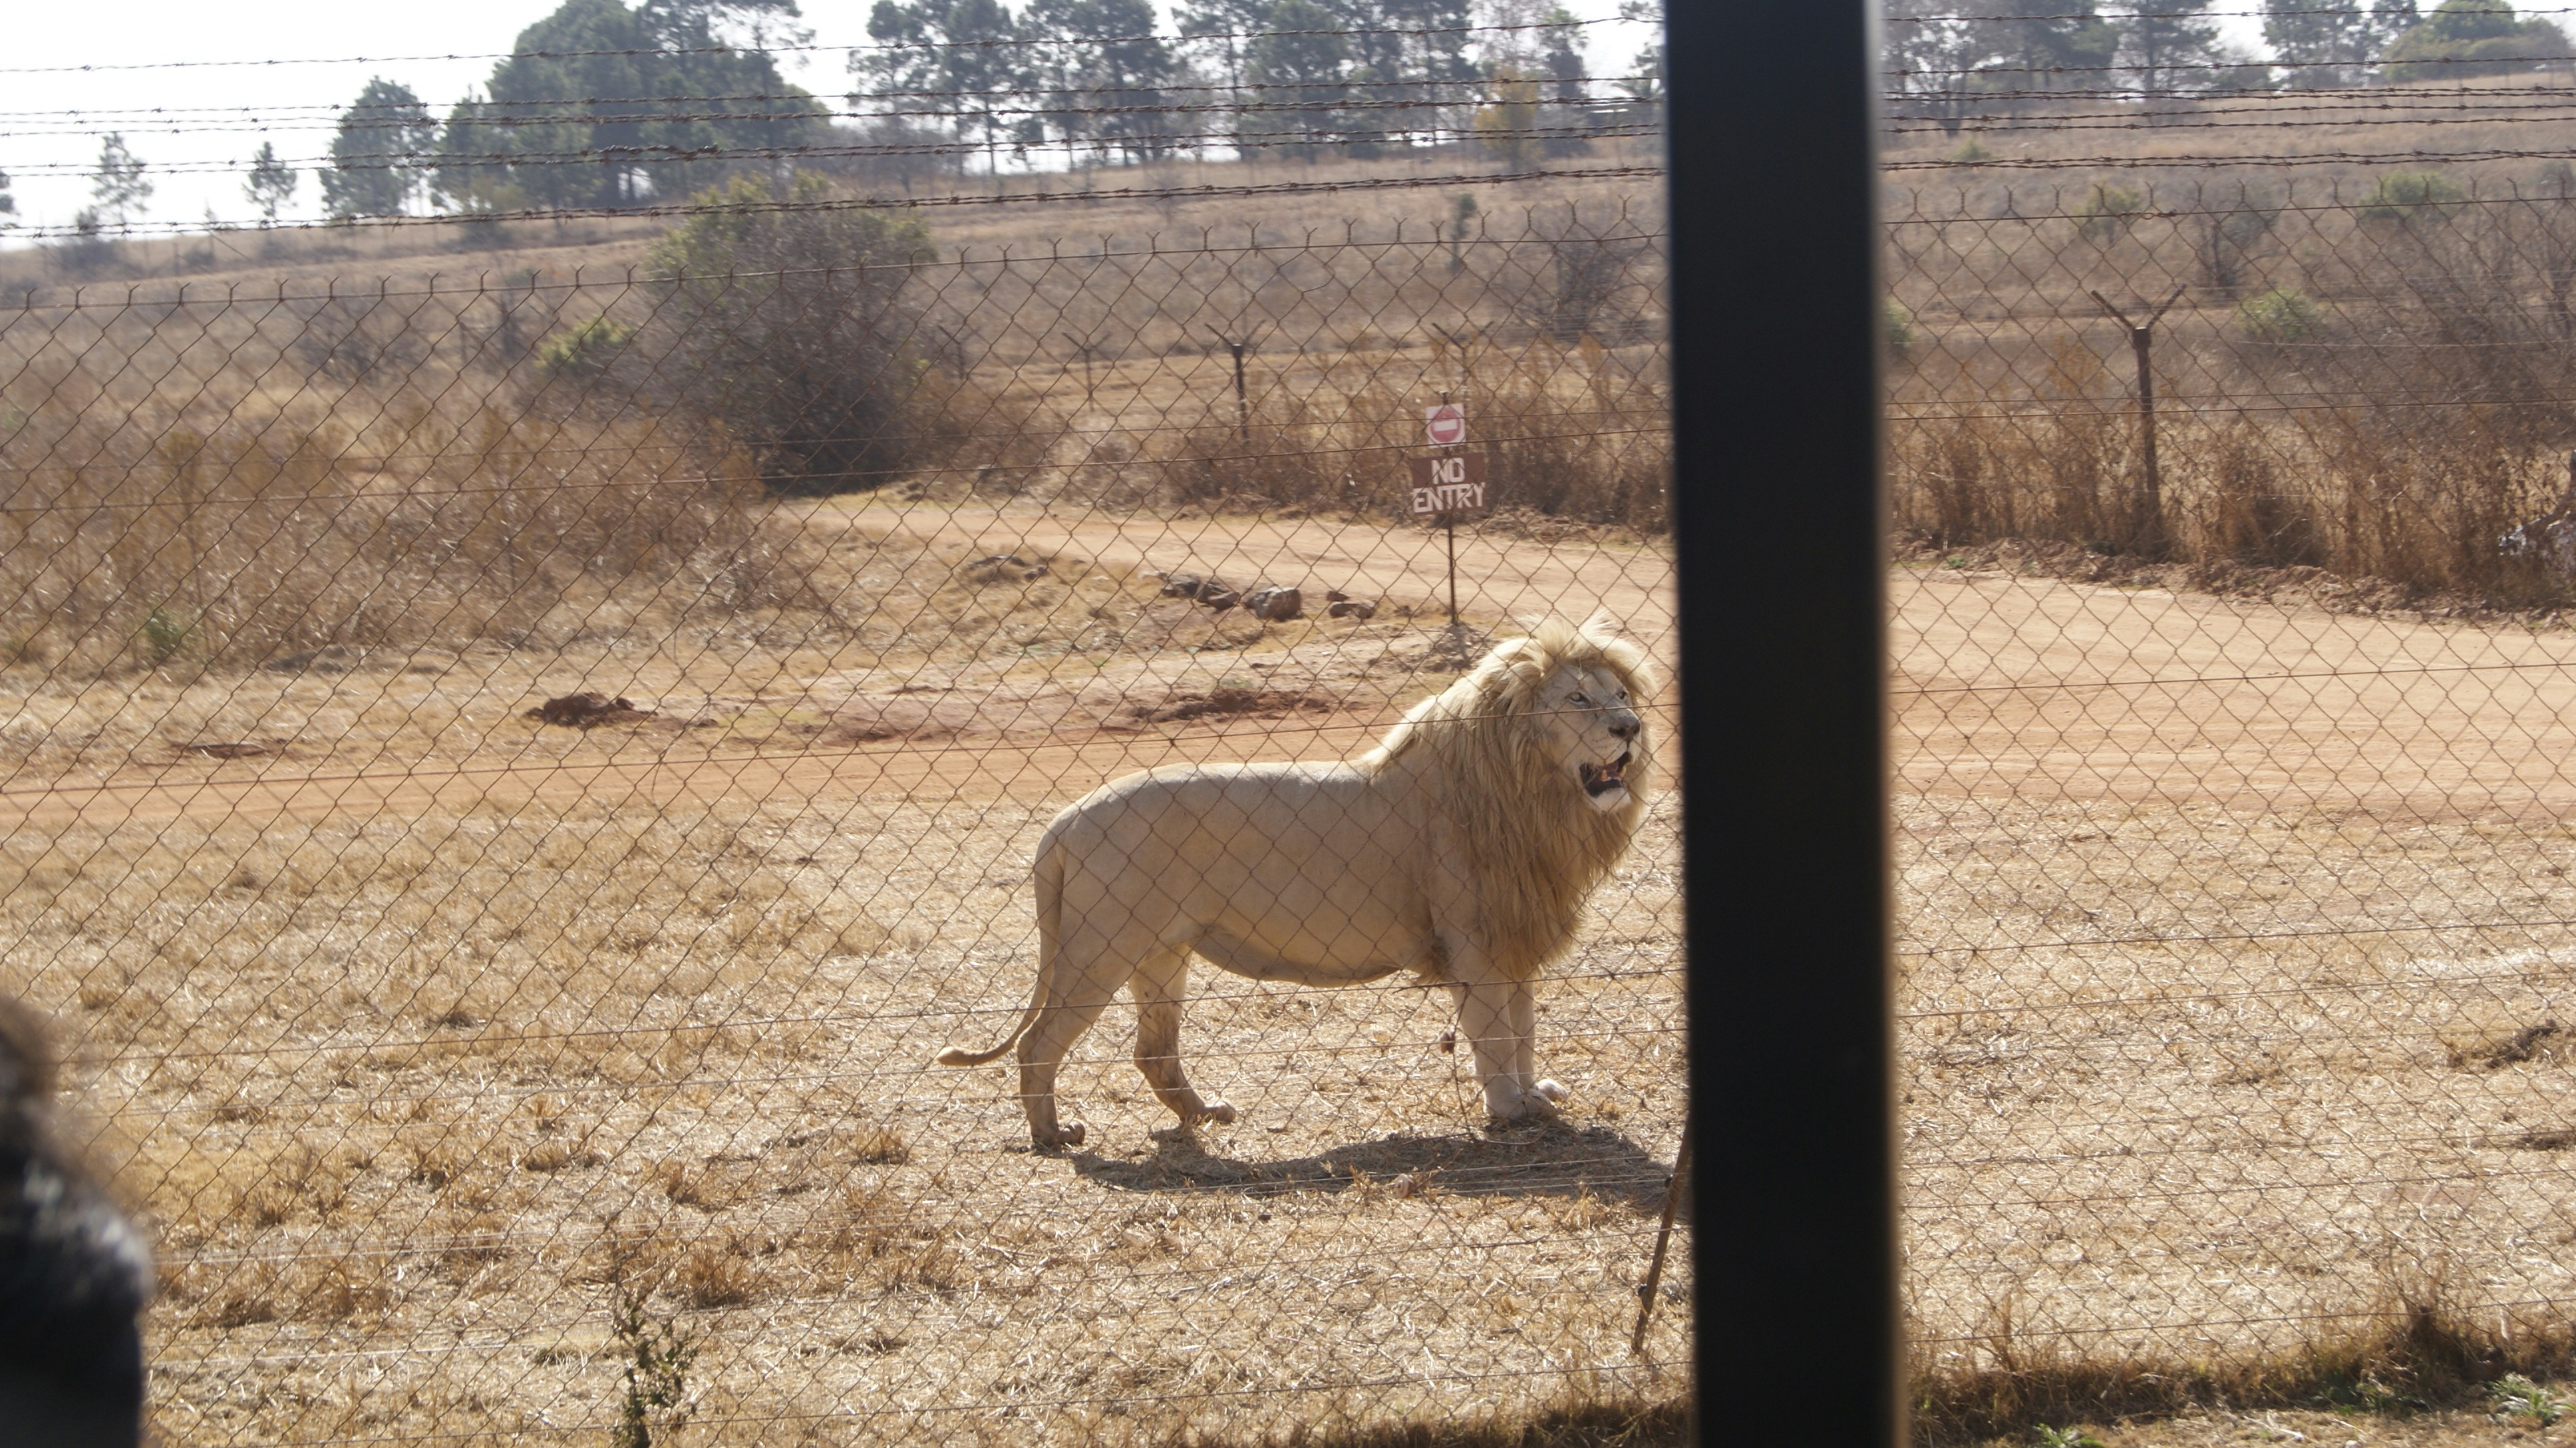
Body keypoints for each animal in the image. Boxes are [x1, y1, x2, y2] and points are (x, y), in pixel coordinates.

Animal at [936, 618, 1653, 1149]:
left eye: (1620, 695)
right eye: (1578, 700)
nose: (1631, 729)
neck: (1530, 795)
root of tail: (1064, 820)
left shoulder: (1515, 929)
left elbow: (1523, 1025)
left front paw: (1534, 1092)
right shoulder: (1475, 938)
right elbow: (1495, 1031)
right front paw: (1509, 1107)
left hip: (1160, 952)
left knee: (1153, 1052)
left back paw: (1203, 1115)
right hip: (1099, 948)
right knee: (1038, 1044)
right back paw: (1053, 1135)